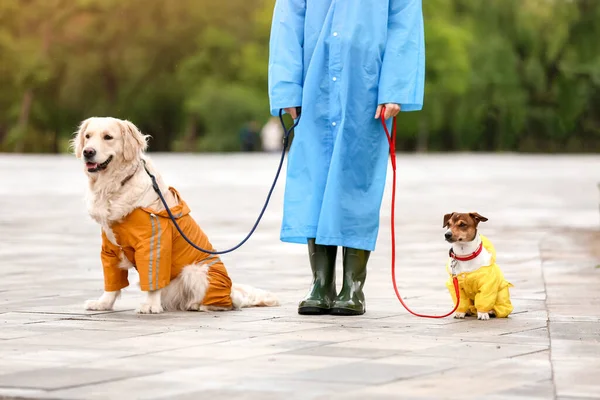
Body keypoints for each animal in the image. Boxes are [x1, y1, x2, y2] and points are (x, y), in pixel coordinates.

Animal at [72, 117, 278, 314]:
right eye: (88, 136)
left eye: (108, 137)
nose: (88, 152)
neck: (116, 185)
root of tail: (231, 289)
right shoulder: (110, 246)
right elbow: (112, 281)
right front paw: (103, 304)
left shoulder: (153, 244)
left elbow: (153, 279)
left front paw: (150, 306)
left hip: (195, 271)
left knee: (229, 303)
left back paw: (198, 305)